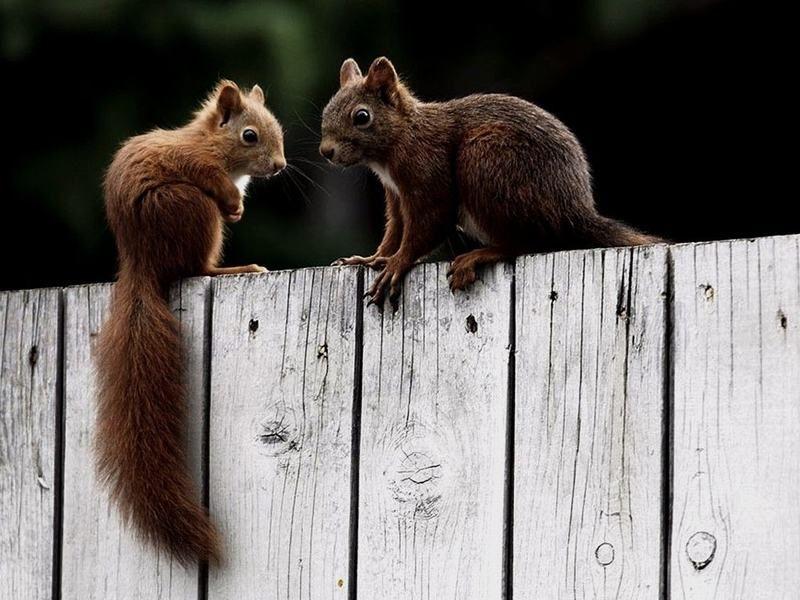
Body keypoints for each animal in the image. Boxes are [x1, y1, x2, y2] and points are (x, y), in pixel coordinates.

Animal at [97, 78, 286, 564]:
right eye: (249, 136)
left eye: (277, 130)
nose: (279, 166)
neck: (212, 144)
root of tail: (140, 263)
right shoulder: (193, 162)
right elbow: (211, 177)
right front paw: (236, 201)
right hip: (192, 210)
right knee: (196, 268)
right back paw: (234, 269)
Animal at [318, 56, 664, 304]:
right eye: (325, 112)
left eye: (362, 117)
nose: (326, 151)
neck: (400, 138)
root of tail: (574, 212)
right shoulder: (396, 195)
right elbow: (395, 232)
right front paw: (370, 258)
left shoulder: (429, 171)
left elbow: (429, 224)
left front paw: (396, 264)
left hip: (486, 162)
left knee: (530, 242)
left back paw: (480, 255)